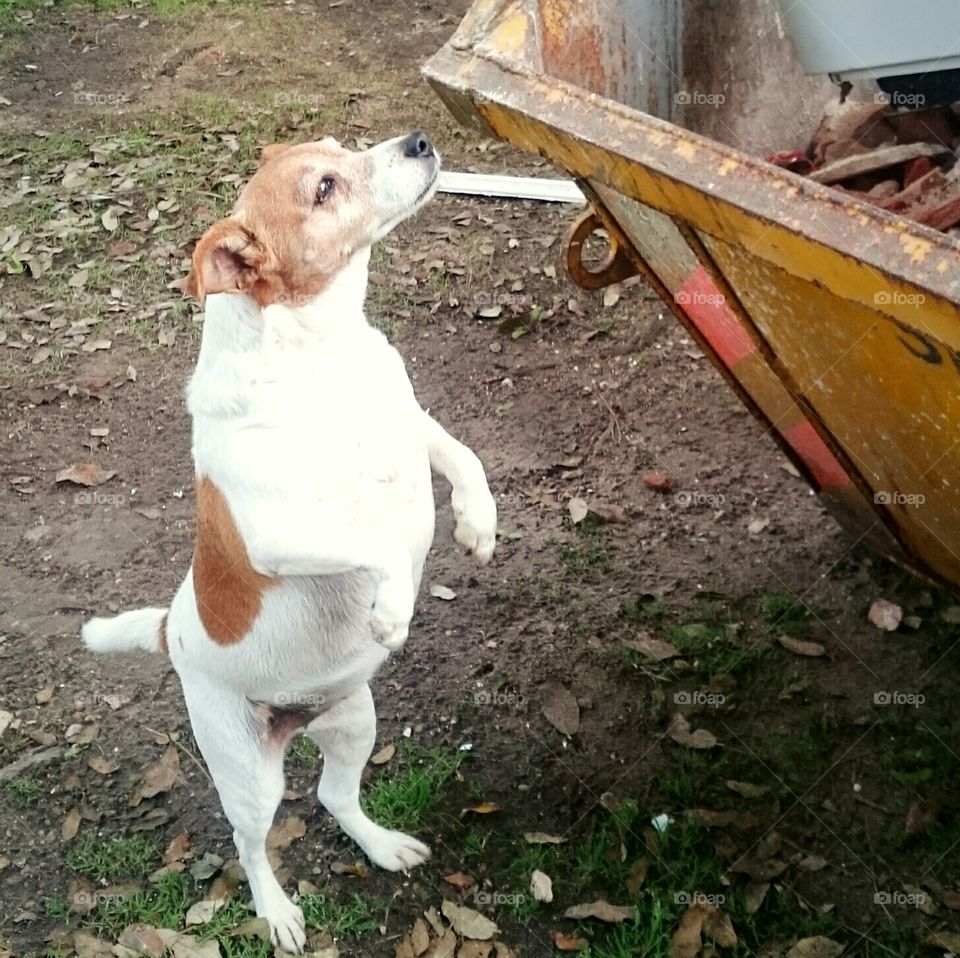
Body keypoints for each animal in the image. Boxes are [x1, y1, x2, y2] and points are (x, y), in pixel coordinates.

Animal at [81, 131, 496, 956]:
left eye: (338, 148)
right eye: (324, 188)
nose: (418, 140)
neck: (326, 358)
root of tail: (172, 630)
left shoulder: (417, 431)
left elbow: (466, 459)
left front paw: (478, 523)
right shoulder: (277, 537)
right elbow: (377, 544)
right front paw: (392, 607)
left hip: (355, 723)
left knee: (337, 797)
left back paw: (382, 845)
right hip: (248, 776)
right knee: (250, 846)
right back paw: (276, 913)